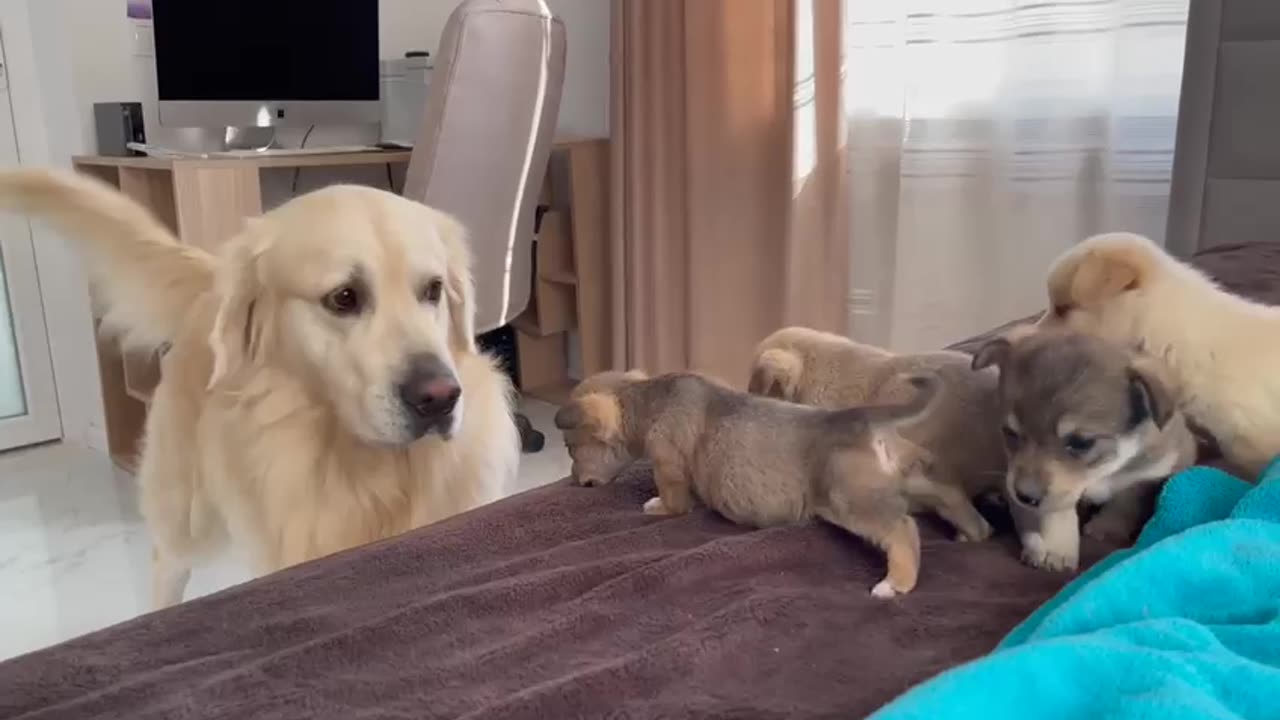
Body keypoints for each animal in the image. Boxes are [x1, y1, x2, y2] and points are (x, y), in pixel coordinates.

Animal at [1, 167, 519, 604]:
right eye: (344, 297)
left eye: (433, 289)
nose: (439, 398)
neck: (369, 475)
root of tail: (213, 280)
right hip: (186, 515)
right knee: (165, 565)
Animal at [555, 366, 983, 597]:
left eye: (571, 449)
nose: (575, 481)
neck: (646, 399)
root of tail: (866, 419)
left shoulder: (668, 464)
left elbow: (671, 501)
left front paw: (654, 505)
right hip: (916, 479)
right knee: (951, 495)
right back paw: (975, 532)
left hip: (849, 499)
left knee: (904, 529)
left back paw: (895, 583)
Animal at [972, 324, 1192, 566]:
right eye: (1009, 433)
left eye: (1081, 442)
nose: (1025, 497)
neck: (1103, 468)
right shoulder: (1058, 492)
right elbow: (1058, 511)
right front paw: (1058, 550)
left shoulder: (1149, 473)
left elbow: (1127, 501)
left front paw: (1106, 528)